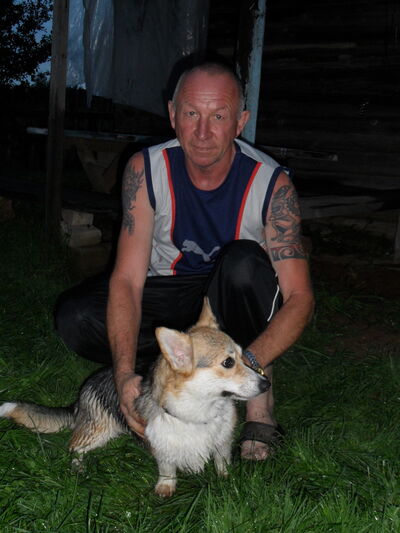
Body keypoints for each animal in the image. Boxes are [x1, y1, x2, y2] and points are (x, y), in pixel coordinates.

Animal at [0, 298, 269, 496]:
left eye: (243, 356)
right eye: (228, 363)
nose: (266, 383)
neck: (200, 410)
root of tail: (82, 394)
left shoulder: (222, 443)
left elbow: (222, 462)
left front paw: (226, 479)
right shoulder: (162, 446)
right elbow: (167, 468)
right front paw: (165, 487)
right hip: (97, 431)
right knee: (74, 446)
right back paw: (79, 467)